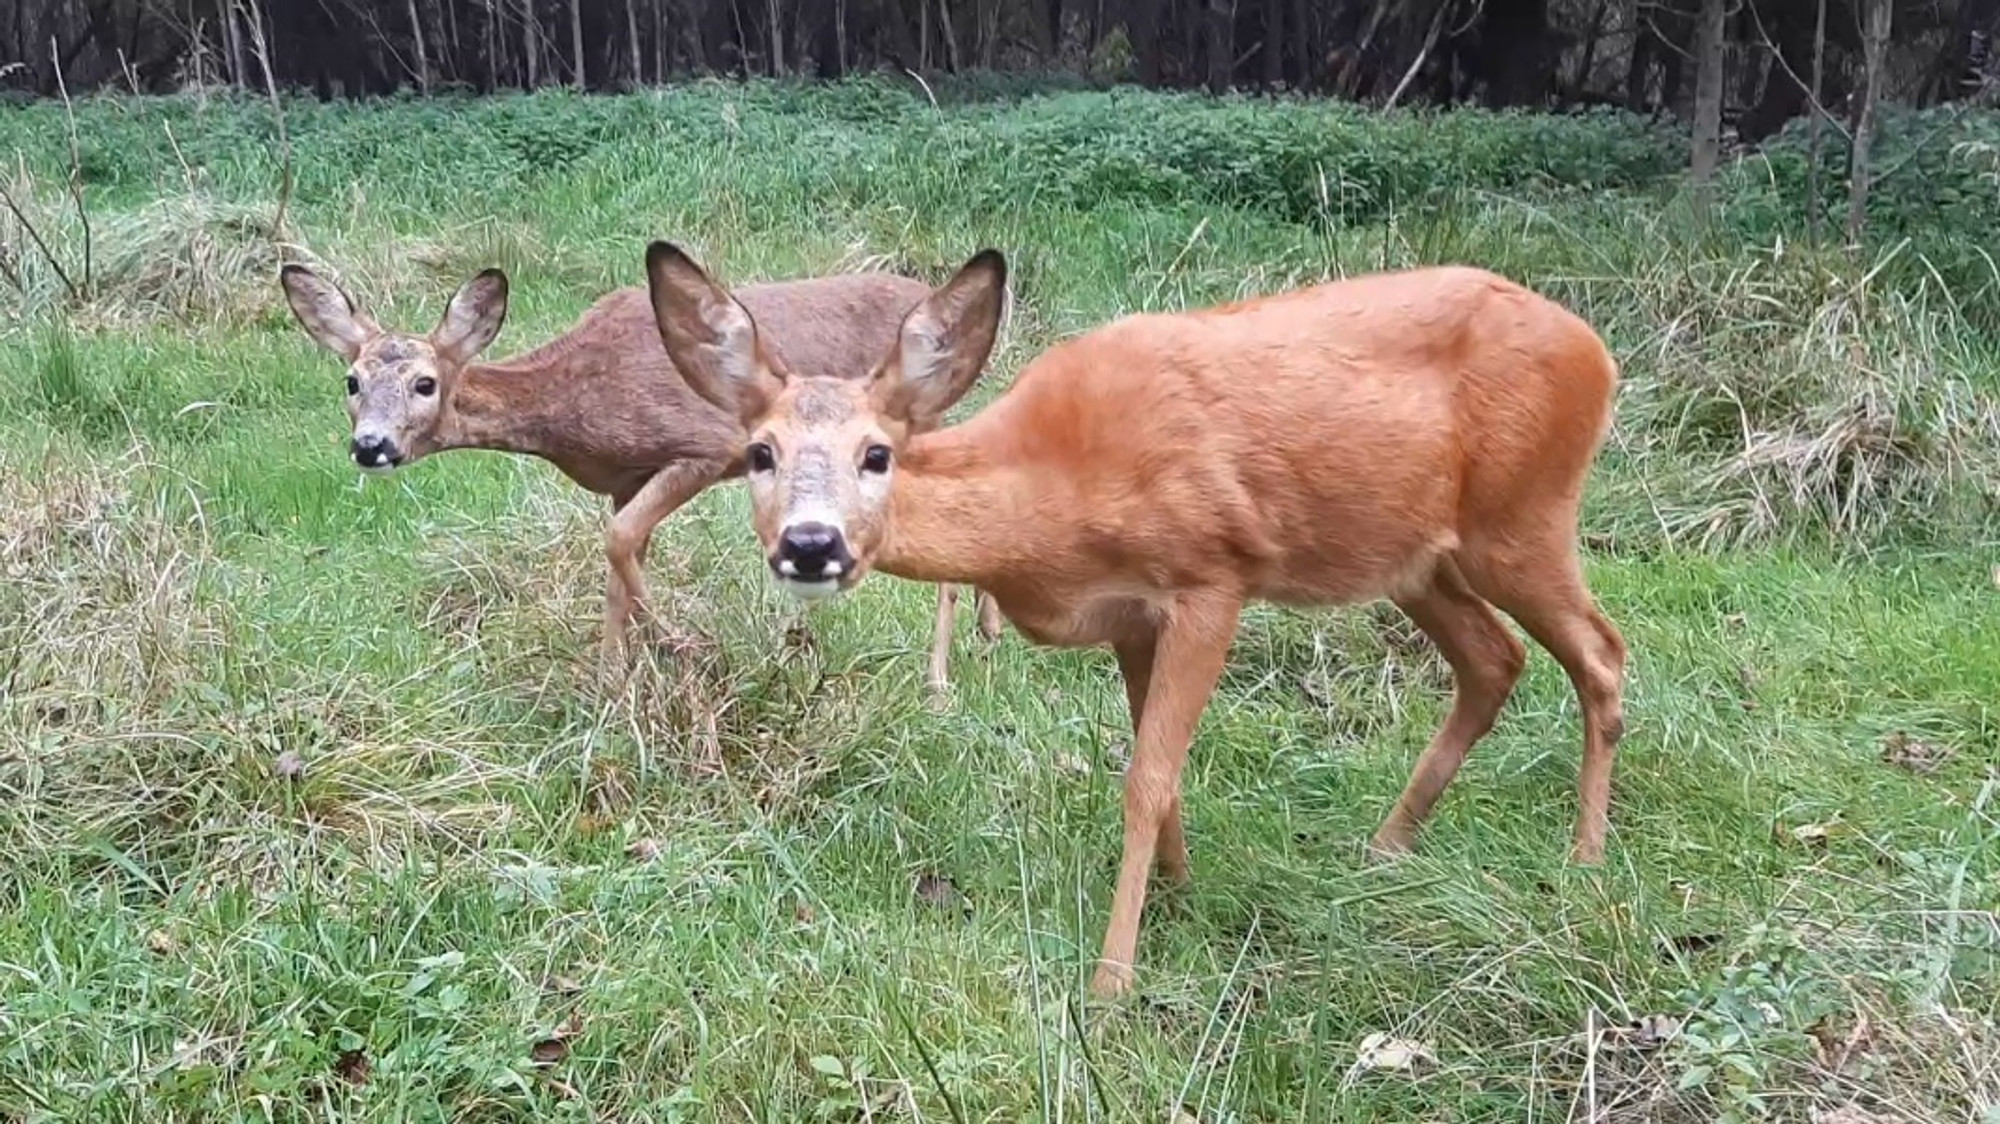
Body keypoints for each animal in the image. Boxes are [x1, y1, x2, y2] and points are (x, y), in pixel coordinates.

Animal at [278, 262, 1000, 684]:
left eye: (425, 383)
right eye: (352, 381)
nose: (371, 446)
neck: (573, 400)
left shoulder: (701, 444)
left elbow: (618, 542)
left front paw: (682, 646)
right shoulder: (624, 477)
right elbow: (619, 564)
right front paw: (612, 677)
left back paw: (943, 674)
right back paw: (988, 631)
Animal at [648, 241, 1632, 992]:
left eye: (877, 453)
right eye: (760, 452)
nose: (811, 545)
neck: (1052, 498)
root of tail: (1599, 352)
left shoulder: (1211, 577)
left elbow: (1146, 778)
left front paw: (1113, 979)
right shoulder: (1128, 618)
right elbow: (1155, 772)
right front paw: (1181, 891)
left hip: (1523, 515)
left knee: (1602, 650)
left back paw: (1585, 862)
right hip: (1415, 559)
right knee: (1494, 658)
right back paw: (1388, 846)